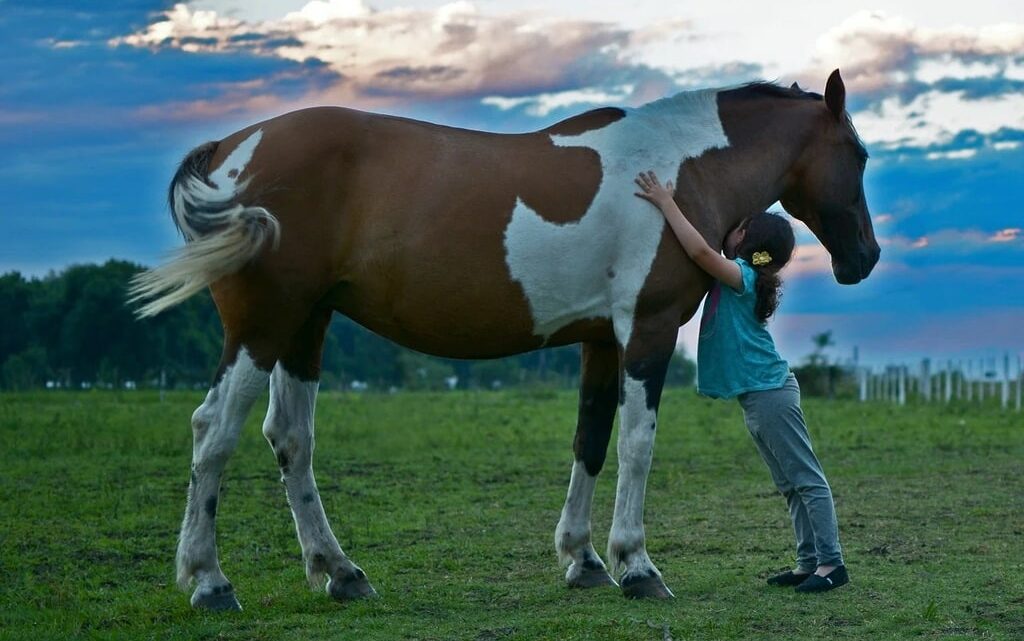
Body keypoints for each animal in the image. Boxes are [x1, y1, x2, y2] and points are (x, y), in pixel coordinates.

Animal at [131, 69, 879, 610]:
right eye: (861, 154)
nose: (864, 258)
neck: (678, 169)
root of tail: (233, 149)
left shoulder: (600, 340)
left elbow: (591, 441)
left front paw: (584, 560)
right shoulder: (648, 329)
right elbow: (637, 446)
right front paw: (637, 565)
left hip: (304, 326)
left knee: (290, 439)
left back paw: (341, 572)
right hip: (263, 325)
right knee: (214, 430)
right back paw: (210, 581)